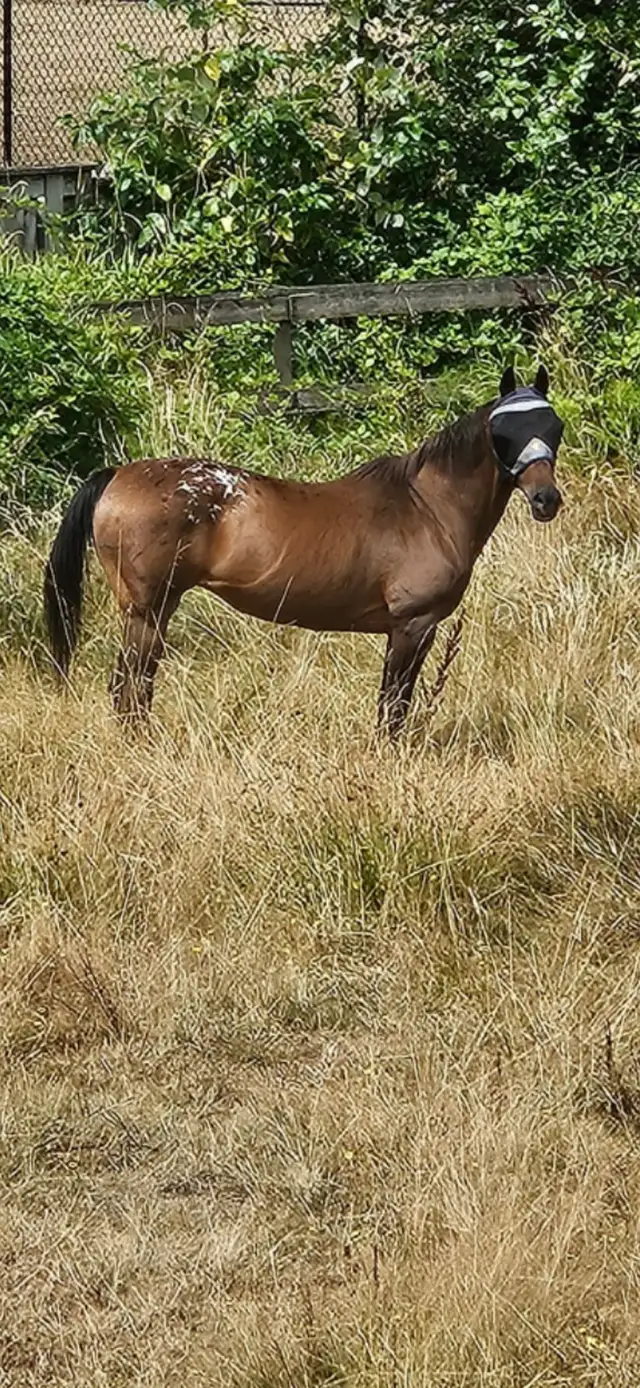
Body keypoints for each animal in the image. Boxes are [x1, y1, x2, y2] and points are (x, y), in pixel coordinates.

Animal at [44, 365, 565, 737]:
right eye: (504, 432)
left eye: (553, 424)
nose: (546, 500)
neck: (427, 508)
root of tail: (116, 475)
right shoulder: (413, 625)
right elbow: (393, 705)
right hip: (145, 609)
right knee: (127, 686)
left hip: (160, 606)